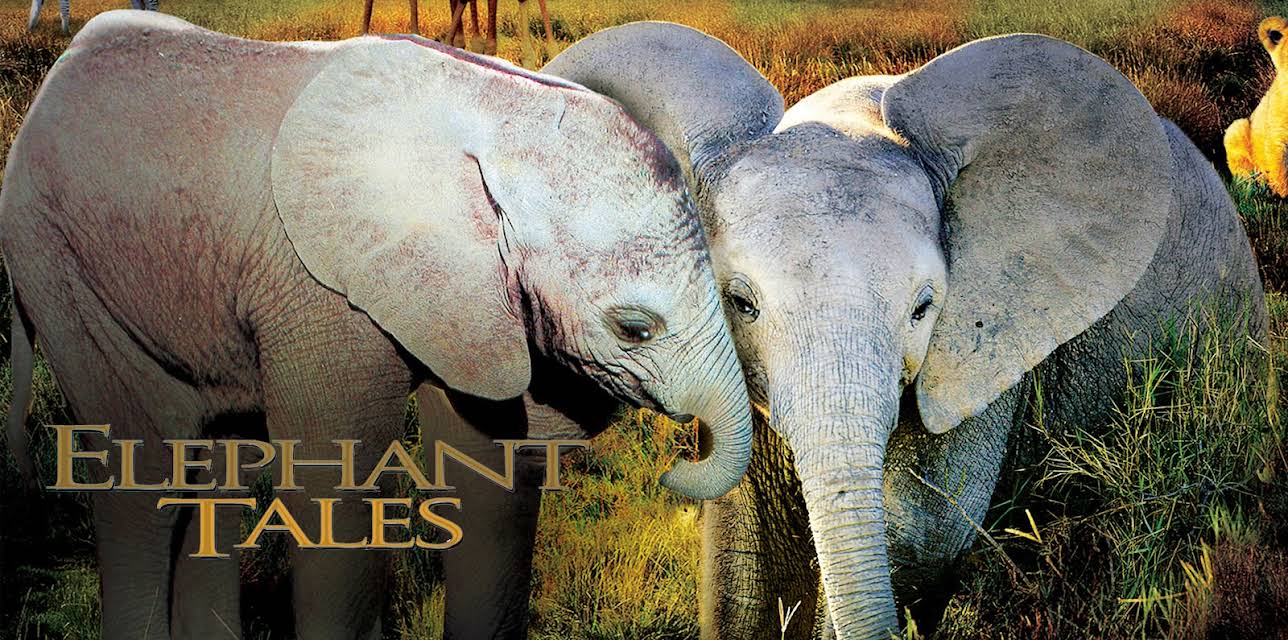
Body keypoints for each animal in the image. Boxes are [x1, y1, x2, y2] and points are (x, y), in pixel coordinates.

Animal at [0, 11, 753, 640]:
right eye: (634, 328)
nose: (677, 470)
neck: (498, 111)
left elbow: (486, 469)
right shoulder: (316, 286)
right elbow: (333, 481)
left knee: (213, 468)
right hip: (53, 256)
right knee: (144, 469)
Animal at [28, 0, 157, 34]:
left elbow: (64, 9)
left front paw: (66, 34)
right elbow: (34, 9)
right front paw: (30, 33)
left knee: (152, 5)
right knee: (140, 6)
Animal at [544, 22, 1269, 640]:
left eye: (923, 309)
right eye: (738, 303)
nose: (674, 471)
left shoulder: (986, 345)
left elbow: (921, 534)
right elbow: (740, 565)